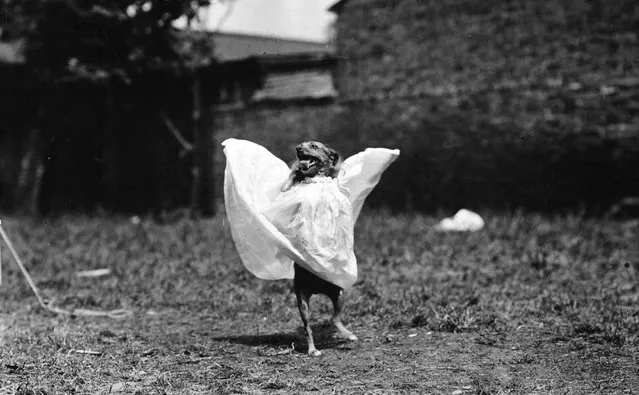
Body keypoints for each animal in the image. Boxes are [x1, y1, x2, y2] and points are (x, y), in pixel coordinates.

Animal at [284, 142, 360, 356]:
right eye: (302, 145)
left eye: (314, 146)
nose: (298, 148)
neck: (315, 178)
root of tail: (317, 289)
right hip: (302, 301)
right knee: (308, 328)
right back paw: (312, 349)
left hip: (338, 293)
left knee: (335, 318)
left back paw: (348, 335)